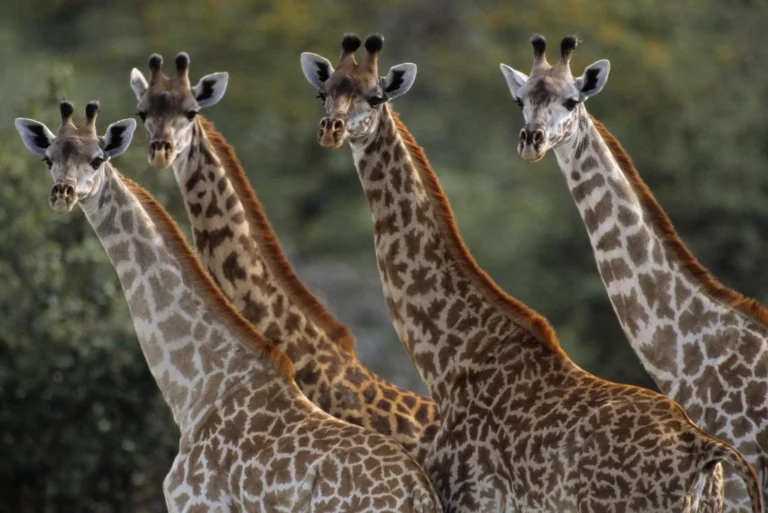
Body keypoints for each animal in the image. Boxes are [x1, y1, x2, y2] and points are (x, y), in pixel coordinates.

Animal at [14, 100, 443, 512]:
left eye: (97, 158)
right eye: (48, 158)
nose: (64, 194)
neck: (199, 388)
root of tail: (418, 495)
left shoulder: (197, 503)